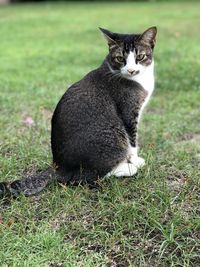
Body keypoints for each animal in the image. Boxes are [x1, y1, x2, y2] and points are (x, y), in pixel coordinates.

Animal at [0, 26, 156, 199]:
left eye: (140, 57)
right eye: (120, 58)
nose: (131, 70)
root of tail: (59, 167)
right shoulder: (129, 111)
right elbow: (132, 140)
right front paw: (134, 160)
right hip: (112, 137)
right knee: (84, 178)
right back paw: (126, 168)